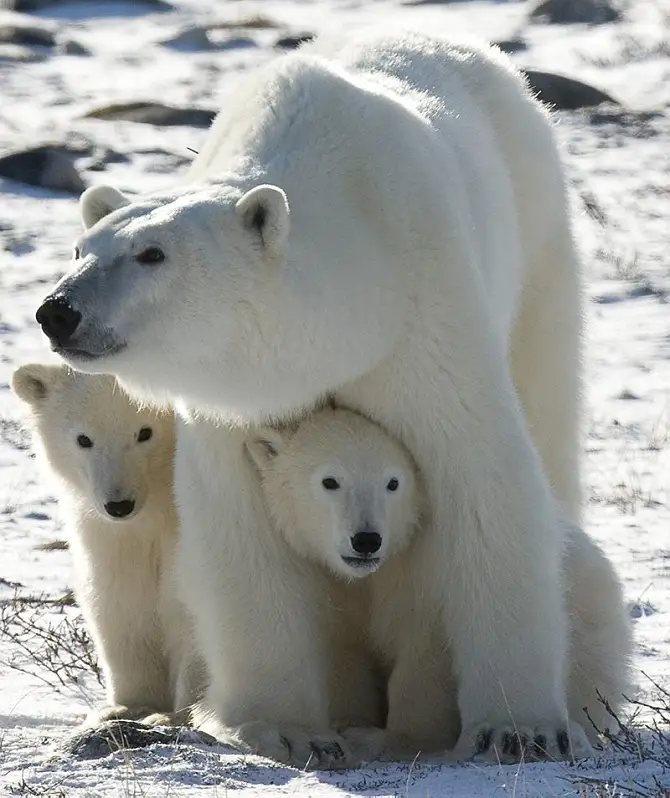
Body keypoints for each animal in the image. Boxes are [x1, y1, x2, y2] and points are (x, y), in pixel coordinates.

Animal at [35, 31, 620, 764]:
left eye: (152, 254)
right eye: (79, 246)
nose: (58, 311)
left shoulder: (425, 317)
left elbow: (486, 478)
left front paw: (517, 730)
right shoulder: (236, 405)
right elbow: (237, 524)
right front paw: (284, 727)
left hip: (536, 238)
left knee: (547, 405)